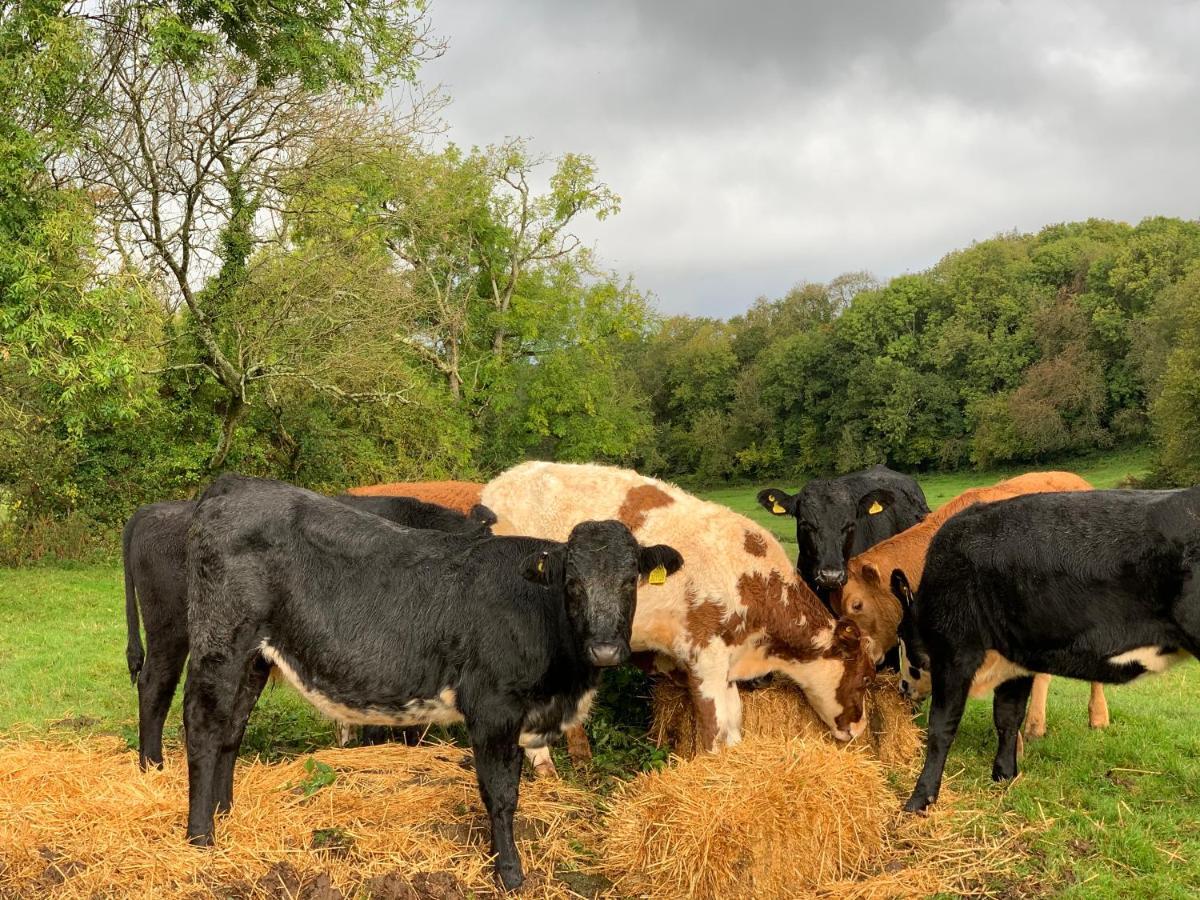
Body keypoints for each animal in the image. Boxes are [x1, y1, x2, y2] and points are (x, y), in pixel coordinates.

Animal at [181, 475, 681, 892]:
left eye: (630, 581)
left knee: (232, 730)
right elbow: (500, 792)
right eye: (572, 583)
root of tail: (235, 485)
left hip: (254, 658)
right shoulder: (494, 706)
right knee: (205, 728)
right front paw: (509, 873)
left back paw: (226, 814)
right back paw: (201, 837)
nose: (606, 649)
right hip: (220, 644)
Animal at [897, 489, 1200, 816]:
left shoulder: (954, 651)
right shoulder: (1015, 658)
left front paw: (919, 800)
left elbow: (941, 728)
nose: (902, 687)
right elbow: (1007, 717)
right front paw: (1004, 775)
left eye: (900, 635)